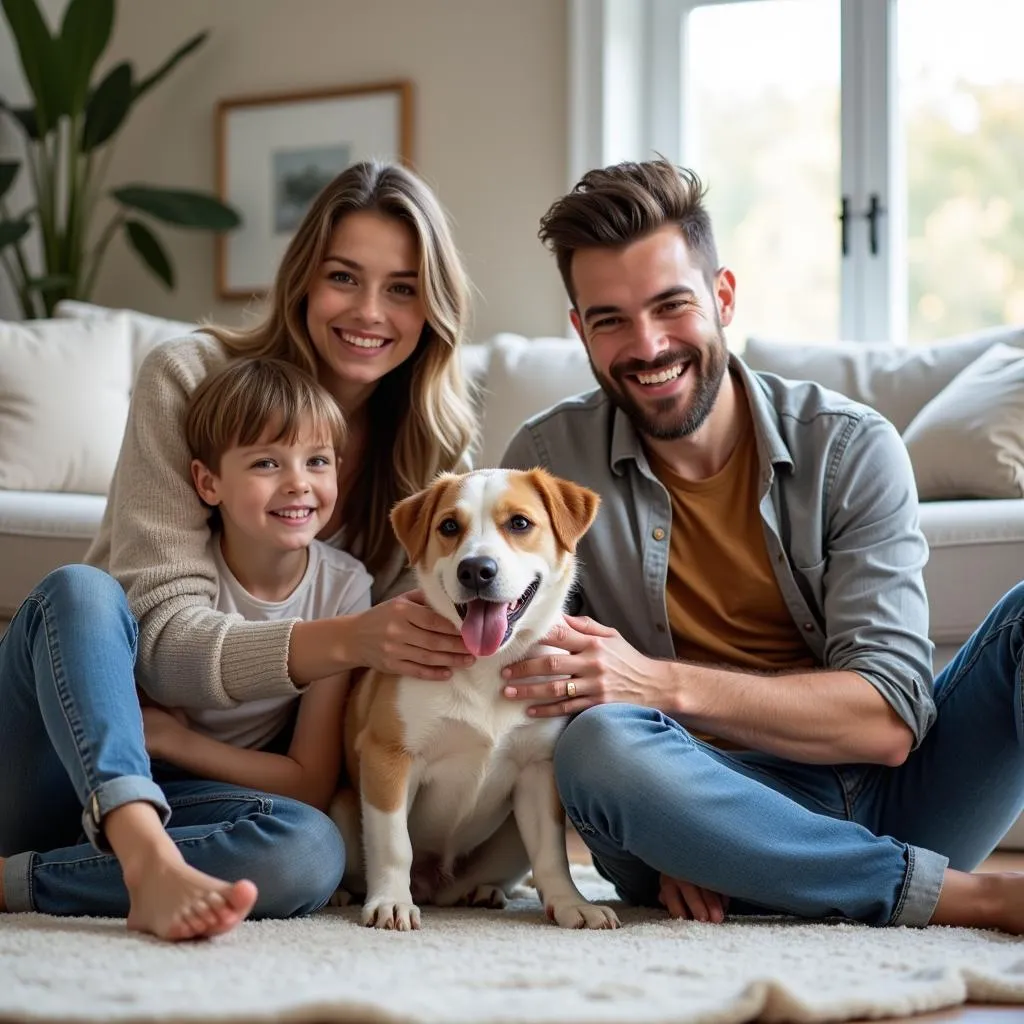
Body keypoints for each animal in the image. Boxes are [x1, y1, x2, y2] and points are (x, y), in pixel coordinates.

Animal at [335, 468, 618, 933]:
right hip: (342, 808)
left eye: (519, 523)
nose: (476, 570)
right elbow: (394, 844)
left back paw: (486, 891)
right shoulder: (388, 758)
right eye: (449, 526)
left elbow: (552, 855)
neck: (488, 665)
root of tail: (437, 886)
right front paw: (391, 901)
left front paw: (571, 903)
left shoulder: (537, 771)